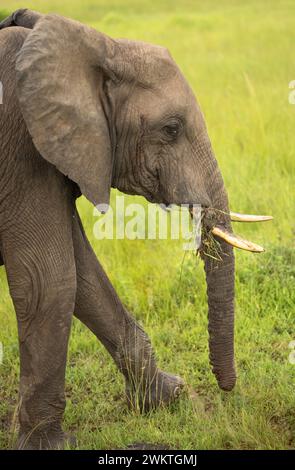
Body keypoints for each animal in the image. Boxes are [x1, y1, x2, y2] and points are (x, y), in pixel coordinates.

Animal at [0, 7, 272, 448]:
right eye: (171, 129)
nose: (227, 392)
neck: (97, 46)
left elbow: (85, 277)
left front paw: (167, 397)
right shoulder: (21, 148)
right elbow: (50, 280)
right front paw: (47, 445)